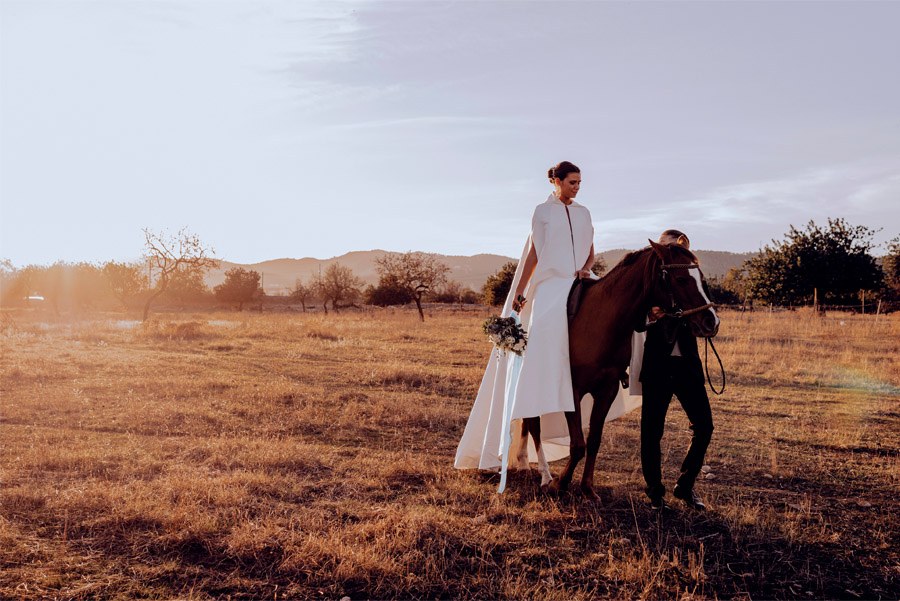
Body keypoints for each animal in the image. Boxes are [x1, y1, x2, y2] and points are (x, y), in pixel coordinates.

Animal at [520, 239, 716, 496]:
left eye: (701, 277)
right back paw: (543, 475)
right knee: (533, 425)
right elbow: (577, 444)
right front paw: (561, 484)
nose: (711, 321)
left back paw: (524, 462)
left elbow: (593, 440)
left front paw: (587, 487)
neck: (600, 320)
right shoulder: (572, 390)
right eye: (681, 279)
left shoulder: (608, 390)